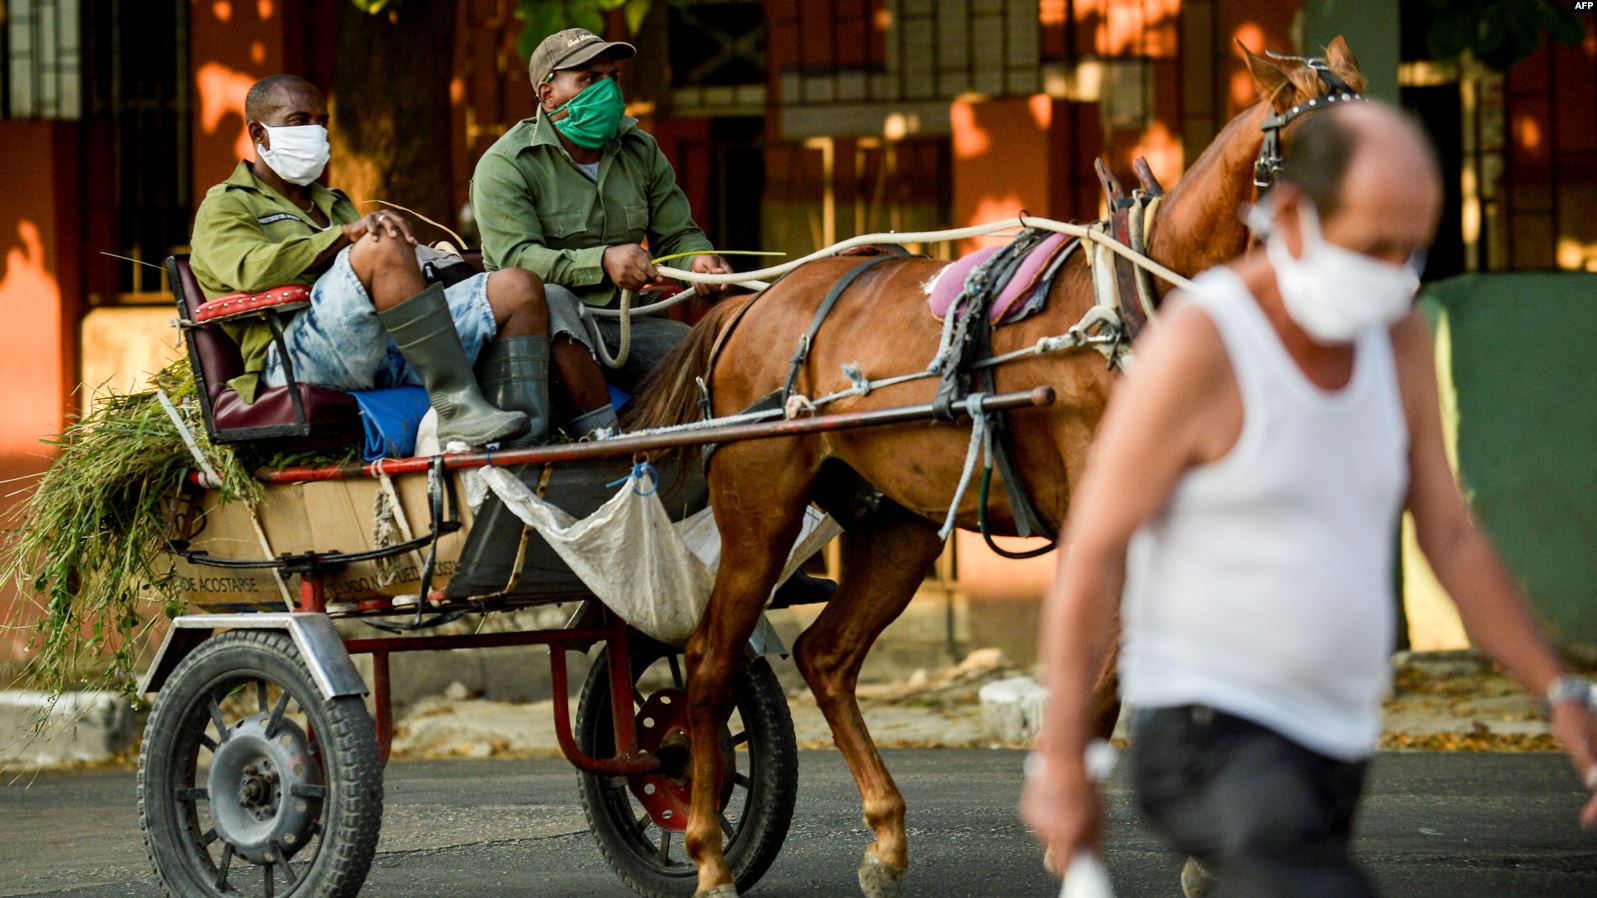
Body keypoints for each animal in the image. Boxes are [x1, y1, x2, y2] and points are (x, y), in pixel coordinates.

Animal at [622, 38, 1360, 888]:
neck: (1140, 302)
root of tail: (747, 305)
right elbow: (1104, 684)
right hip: (759, 509)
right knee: (707, 660)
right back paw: (709, 851)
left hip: (898, 526)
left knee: (826, 656)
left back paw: (884, 838)